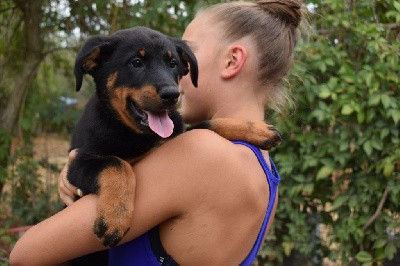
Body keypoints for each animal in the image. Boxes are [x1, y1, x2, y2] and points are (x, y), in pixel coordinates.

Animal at [69, 26, 282, 248]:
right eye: (136, 63)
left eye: (172, 64)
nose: (173, 94)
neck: (140, 136)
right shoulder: (78, 162)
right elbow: (117, 164)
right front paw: (115, 217)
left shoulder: (178, 135)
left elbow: (207, 125)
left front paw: (258, 129)